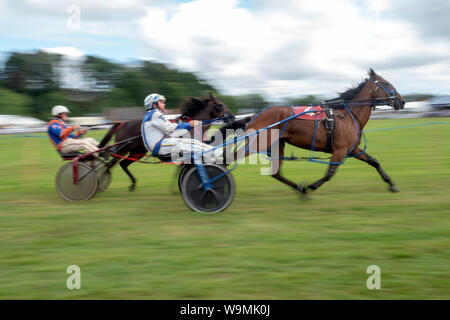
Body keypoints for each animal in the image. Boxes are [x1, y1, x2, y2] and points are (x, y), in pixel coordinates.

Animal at [100, 94, 234, 191]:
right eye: (220, 105)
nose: (232, 116)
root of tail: (122, 123)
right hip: (123, 149)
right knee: (109, 165)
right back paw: (100, 184)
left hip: (137, 152)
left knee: (123, 164)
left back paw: (132, 184)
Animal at [227, 69, 406, 196]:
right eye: (387, 84)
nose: (402, 101)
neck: (348, 116)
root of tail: (254, 116)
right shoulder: (340, 150)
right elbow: (330, 173)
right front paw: (312, 185)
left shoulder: (352, 148)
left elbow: (374, 162)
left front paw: (391, 184)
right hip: (257, 144)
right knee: (230, 159)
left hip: (278, 145)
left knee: (276, 173)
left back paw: (300, 190)